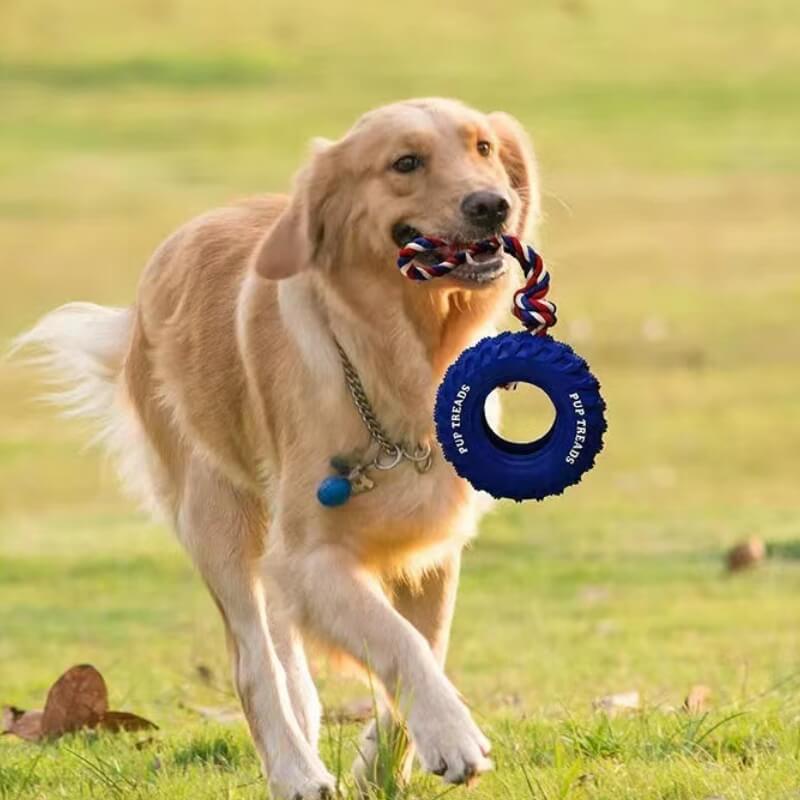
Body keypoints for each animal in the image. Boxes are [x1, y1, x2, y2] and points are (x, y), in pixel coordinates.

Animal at [18, 97, 540, 796]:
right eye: (406, 163)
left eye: (483, 148)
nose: (492, 206)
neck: (396, 357)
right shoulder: (310, 557)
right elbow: (396, 641)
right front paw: (452, 736)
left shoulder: (429, 545)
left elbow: (426, 643)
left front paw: (383, 762)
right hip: (216, 516)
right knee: (254, 662)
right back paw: (294, 769)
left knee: (290, 662)